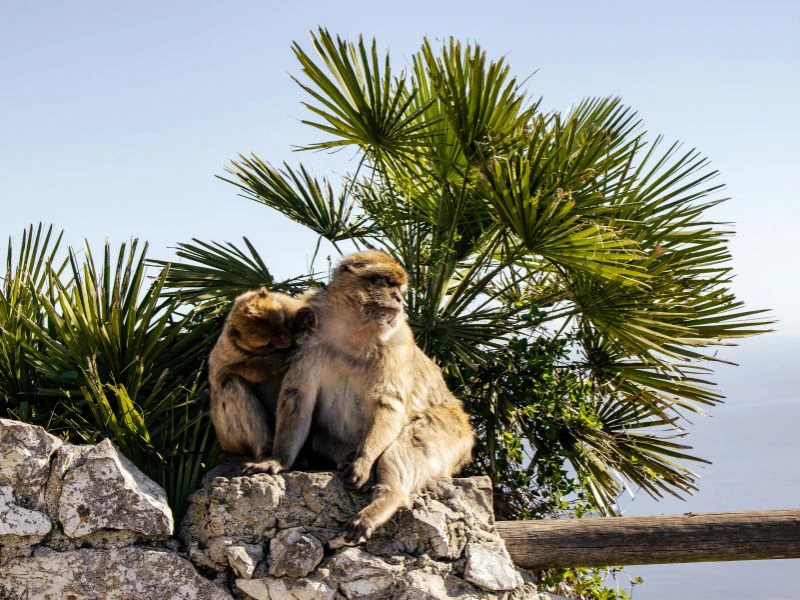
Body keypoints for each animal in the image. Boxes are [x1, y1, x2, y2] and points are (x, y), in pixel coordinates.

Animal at [208, 287, 316, 473]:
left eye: (282, 323)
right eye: (267, 343)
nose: (286, 341)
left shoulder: (284, 302)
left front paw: (303, 318)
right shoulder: (230, 349)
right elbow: (223, 373)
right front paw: (275, 362)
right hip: (229, 439)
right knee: (230, 383)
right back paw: (264, 451)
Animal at [253, 251, 475, 543]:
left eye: (399, 287)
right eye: (386, 282)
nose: (399, 298)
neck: (353, 330)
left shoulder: (398, 341)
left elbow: (388, 406)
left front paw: (364, 462)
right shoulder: (307, 337)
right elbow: (299, 397)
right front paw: (278, 460)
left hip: (454, 431)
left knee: (411, 442)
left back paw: (385, 500)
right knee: (320, 436)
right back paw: (347, 458)